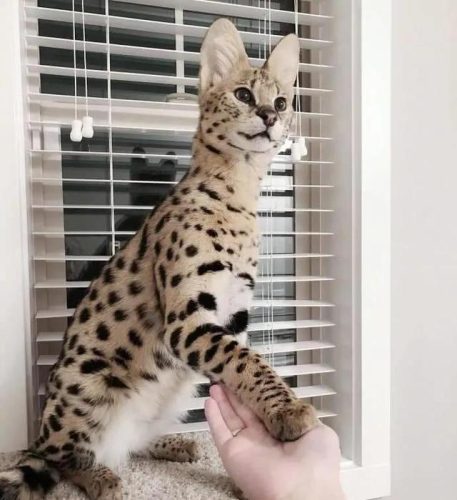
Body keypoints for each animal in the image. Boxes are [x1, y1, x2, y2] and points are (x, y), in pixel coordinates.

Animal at [0, 18, 318, 500]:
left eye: (281, 101)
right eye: (244, 94)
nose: (270, 116)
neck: (240, 193)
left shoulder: (233, 317)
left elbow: (244, 368)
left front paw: (254, 462)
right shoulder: (187, 321)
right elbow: (250, 363)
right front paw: (289, 413)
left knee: (131, 442)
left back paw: (170, 444)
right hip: (86, 383)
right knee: (60, 458)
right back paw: (101, 477)